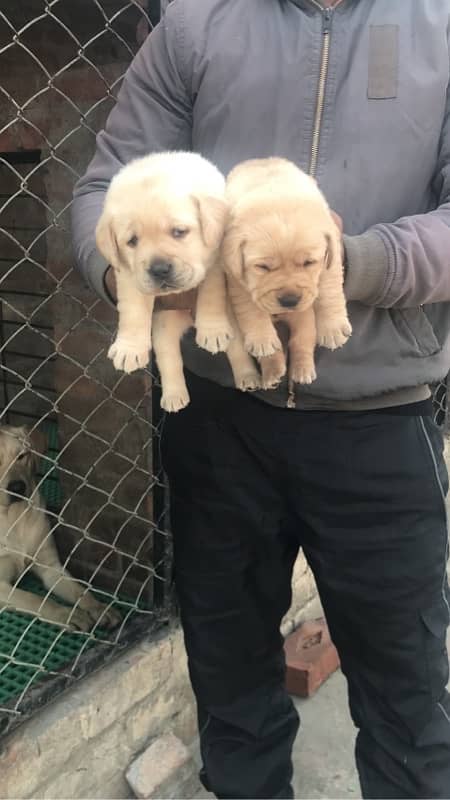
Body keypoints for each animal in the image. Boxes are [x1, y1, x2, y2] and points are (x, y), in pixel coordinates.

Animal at [0, 424, 121, 632]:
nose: (17, 487)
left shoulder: (51, 567)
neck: (13, 517)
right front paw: (68, 614)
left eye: (22, 455)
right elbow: (36, 599)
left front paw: (99, 607)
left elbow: (80, 590)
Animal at [96, 152, 234, 374]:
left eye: (179, 231)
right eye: (132, 241)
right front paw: (130, 349)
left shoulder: (216, 257)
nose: (160, 270)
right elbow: (133, 309)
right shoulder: (129, 274)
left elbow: (212, 291)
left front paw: (213, 330)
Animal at [221, 158, 352, 390]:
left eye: (309, 263)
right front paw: (262, 339)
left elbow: (330, 291)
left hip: (304, 317)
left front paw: (333, 329)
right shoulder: (237, 277)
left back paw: (301, 370)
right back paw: (272, 372)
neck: (279, 196)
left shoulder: (331, 258)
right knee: (270, 352)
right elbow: (251, 309)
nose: (290, 301)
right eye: (263, 267)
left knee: (300, 342)